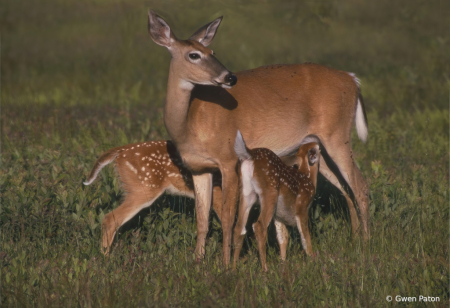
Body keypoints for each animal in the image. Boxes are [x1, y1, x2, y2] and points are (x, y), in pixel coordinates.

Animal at [148, 10, 370, 266]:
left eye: (213, 52)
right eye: (194, 54)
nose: (230, 77)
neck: (189, 123)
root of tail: (353, 80)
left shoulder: (228, 160)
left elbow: (227, 217)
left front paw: (225, 264)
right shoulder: (198, 168)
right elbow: (202, 219)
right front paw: (197, 261)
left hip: (337, 135)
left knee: (360, 185)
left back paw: (367, 242)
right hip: (316, 145)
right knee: (346, 189)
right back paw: (355, 238)